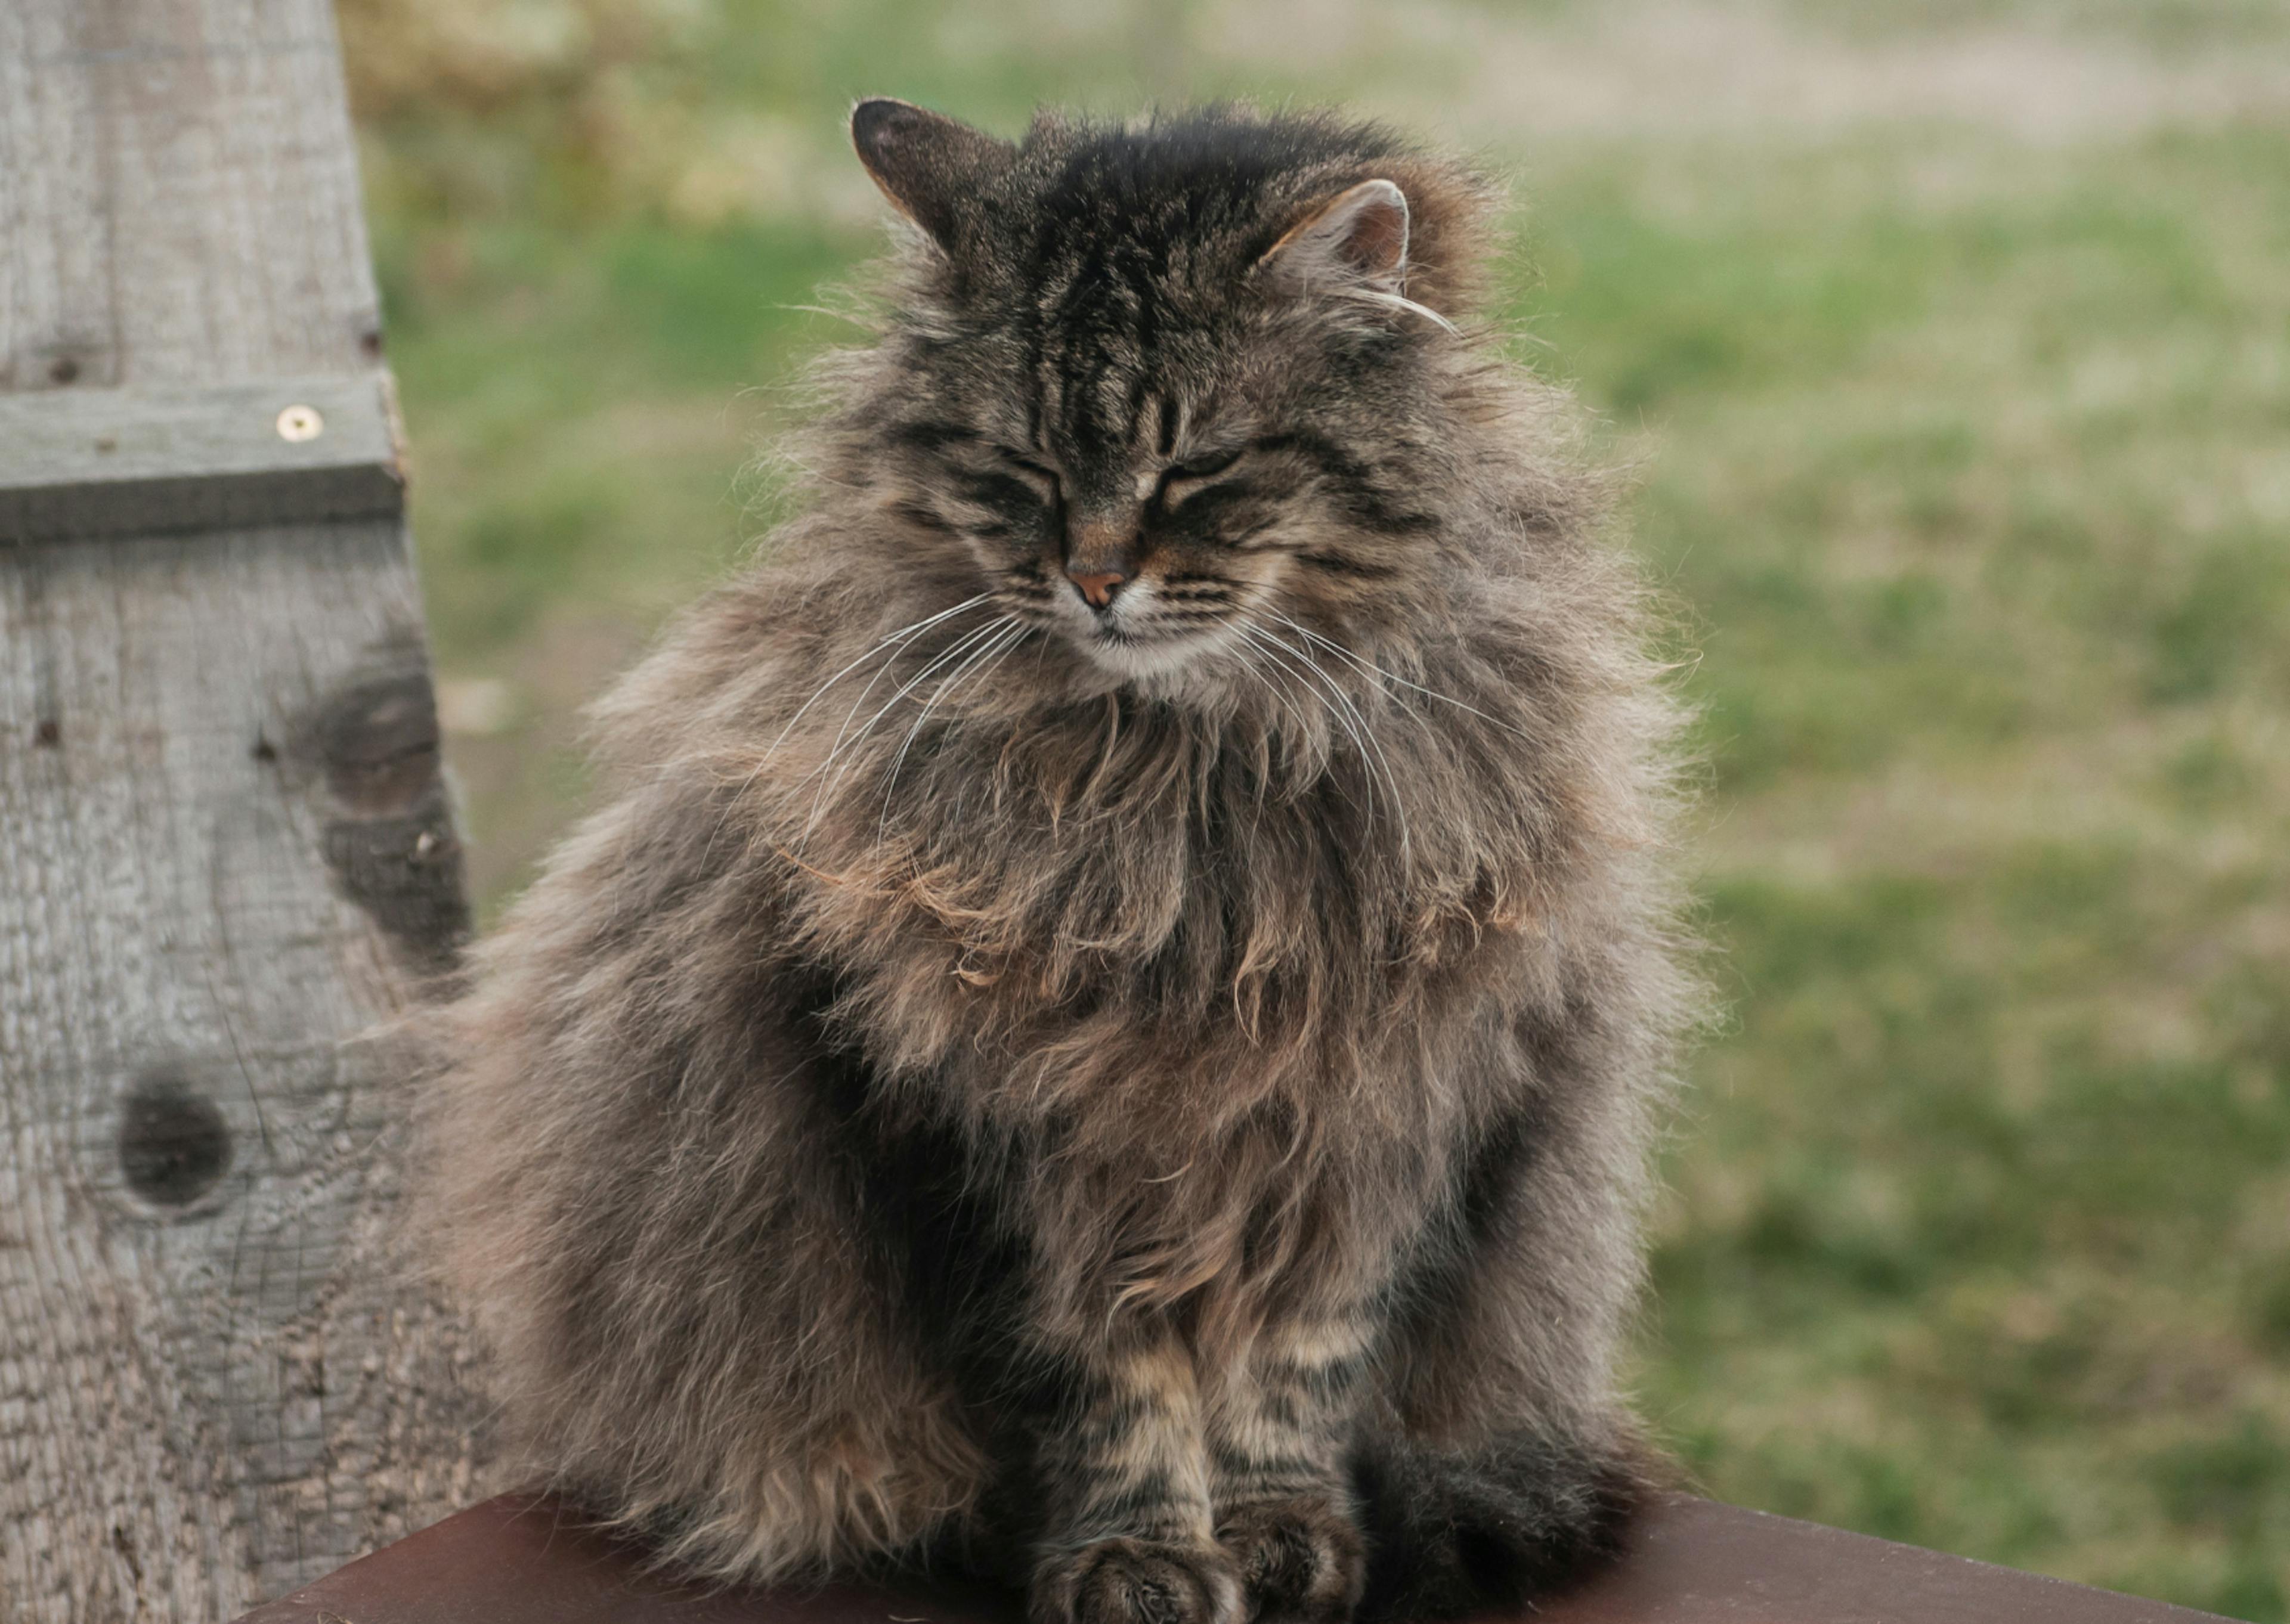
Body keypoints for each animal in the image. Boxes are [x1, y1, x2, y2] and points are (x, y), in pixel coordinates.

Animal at [426, 101, 1703, 1622]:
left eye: (1197, 472)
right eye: (1022, 473)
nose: (1095, 582)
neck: (1188, 798)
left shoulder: (1382, 1118)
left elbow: (1297, 1369)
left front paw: (1284, 1537)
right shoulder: (970, 1129)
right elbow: (1094, 1388)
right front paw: (1134, 1559)